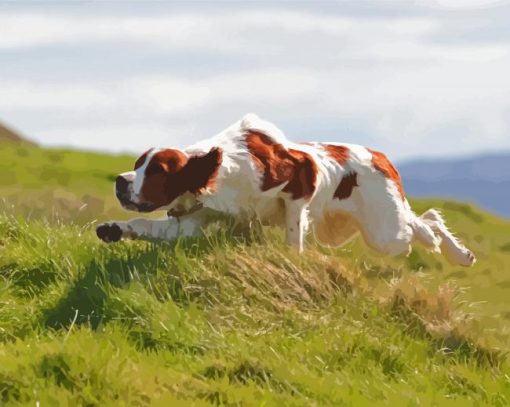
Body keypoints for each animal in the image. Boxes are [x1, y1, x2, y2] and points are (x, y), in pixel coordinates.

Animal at [97, 115, 476, 268]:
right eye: (138, 163)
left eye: (157, 171)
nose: (119, 181)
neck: (221, 171)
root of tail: (380, 156)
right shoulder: (191, 221)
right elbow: (147, 226)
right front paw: (111, 229)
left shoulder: (298, 186)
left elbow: (293, 235)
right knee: (424, 221)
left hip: (385, 232)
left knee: (427, 223)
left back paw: (461, 254)